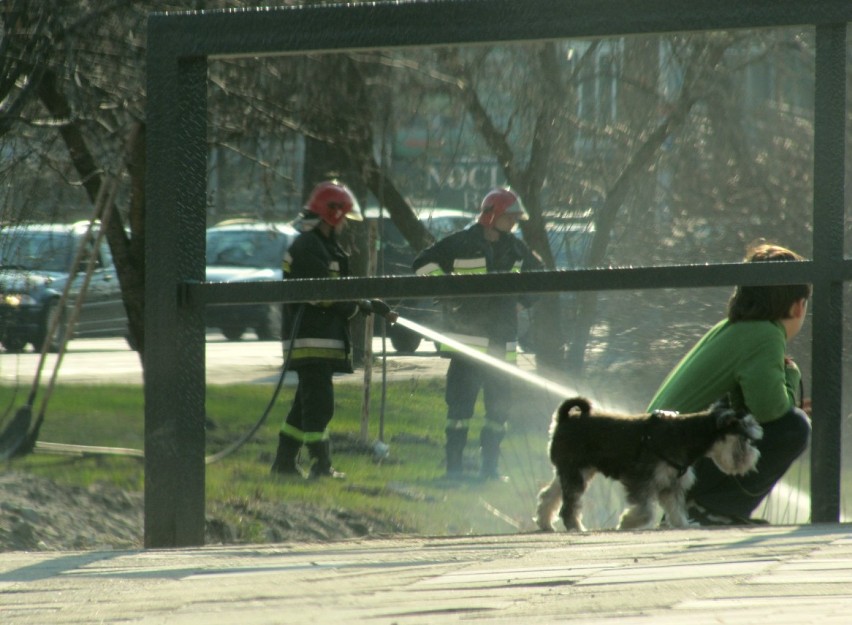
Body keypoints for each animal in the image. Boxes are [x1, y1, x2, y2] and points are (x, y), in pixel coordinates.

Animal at [536, 398, 764, 528]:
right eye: (744, 438)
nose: (754, 457)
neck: (686, 434)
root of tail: (565, 419)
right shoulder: (642, 480)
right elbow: (646, 511)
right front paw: (627, 522)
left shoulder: (673, 484)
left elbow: (676, 508)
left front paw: (684, 524)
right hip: (576, 473)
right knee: (570, 504)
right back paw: (575, 526)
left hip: (574, 471)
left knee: (550, 495)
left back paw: (545, 522)